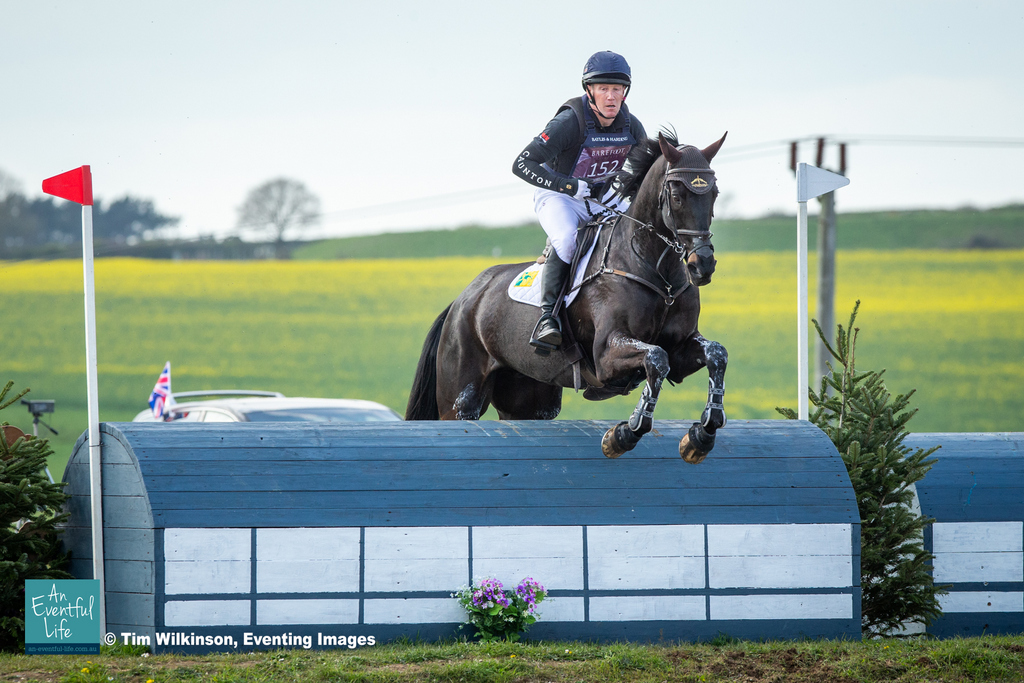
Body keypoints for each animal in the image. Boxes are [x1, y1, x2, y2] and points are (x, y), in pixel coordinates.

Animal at [405, 130, 729, 462]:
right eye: (677, 196)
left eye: (714, 193)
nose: (702, 265)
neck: (654, 268)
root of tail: (464, 300)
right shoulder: (606, 354)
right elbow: (656, 358)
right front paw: (625, 433)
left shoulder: (681, 347)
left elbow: (716, 354)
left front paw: (704, 432)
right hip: (460, 398)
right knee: (457, 414)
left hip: (530, 400)